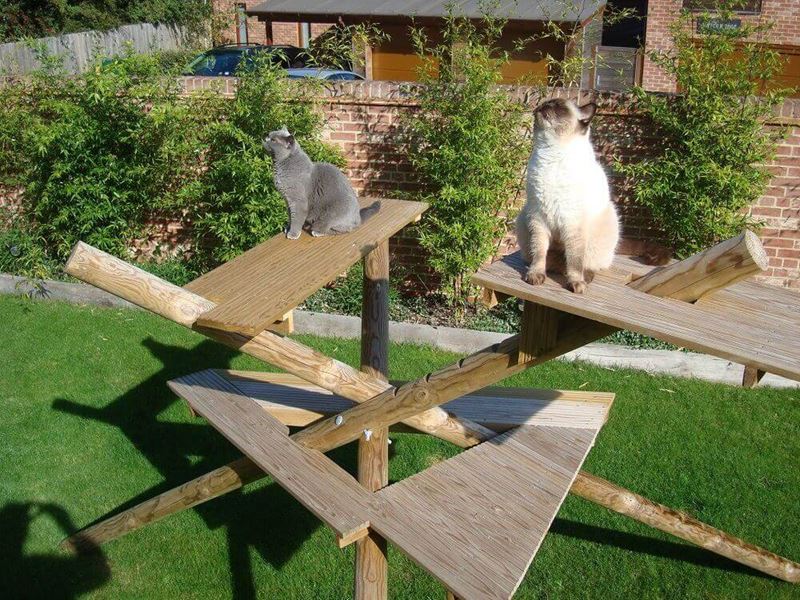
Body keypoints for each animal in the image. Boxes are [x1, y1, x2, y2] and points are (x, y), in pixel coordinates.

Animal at [516, 97, 620, 294]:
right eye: (546, 103)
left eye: (559, 107)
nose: (542, 106)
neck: (550, 153)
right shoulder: (538, 217)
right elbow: (539, 252)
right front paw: (535, 275)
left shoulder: (572, 221)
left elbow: (574, 260)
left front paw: (575, 283)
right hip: (523, 218)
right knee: (548, 260)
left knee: (583, 264)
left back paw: (585, 278)